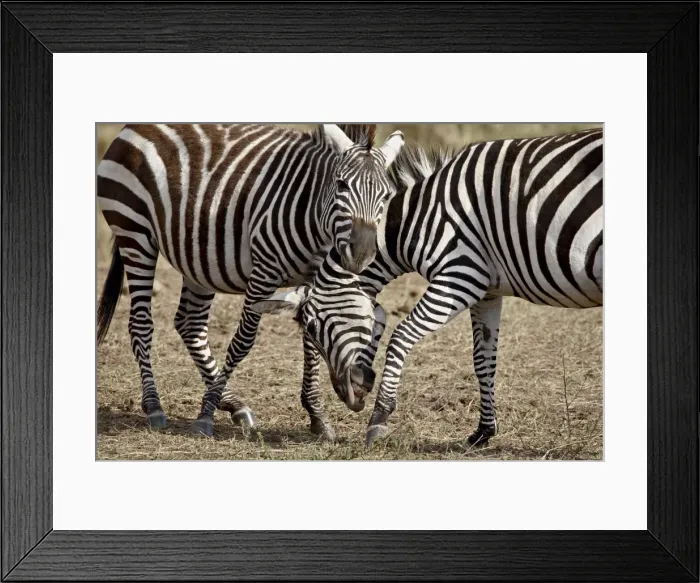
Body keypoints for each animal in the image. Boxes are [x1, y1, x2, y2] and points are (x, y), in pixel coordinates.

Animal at [96, 123, 404, 438]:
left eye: (386, 195)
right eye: (341, 185)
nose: (361, 253)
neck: (313, 216)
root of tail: (132, 127)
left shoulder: (313, 279)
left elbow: (309, 341)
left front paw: (317, 415)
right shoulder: (263, 272)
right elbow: (243, 341)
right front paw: (205, 415)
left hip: (197, 254)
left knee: (190, 324)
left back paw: (232, 403)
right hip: (134, 233)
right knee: (140, 323)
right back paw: (155, 406)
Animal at [252, 128, 603, 447]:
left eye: (313, 325)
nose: (348, 396)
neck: (421, 218)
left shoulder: (461, 277)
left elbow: (400, 337)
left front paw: (379, 419)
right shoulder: (488, 291)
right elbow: (483, 360)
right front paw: (483, 432)